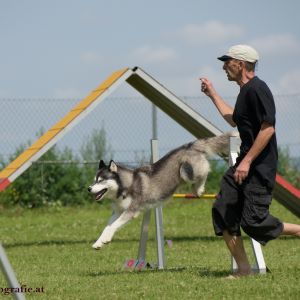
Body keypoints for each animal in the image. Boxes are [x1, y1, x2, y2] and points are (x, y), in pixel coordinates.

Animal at [88, 132, 233, 250]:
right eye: (94, 180)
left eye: (101, 181)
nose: (89, 188)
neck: (125, 186)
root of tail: (190, 145)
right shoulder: (118, 211)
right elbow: (107, 226)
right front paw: (99, 242)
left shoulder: (131, 211)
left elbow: (114, 226)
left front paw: (105, 239)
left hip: (187, 171)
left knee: (205, 170)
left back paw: (198, 188)